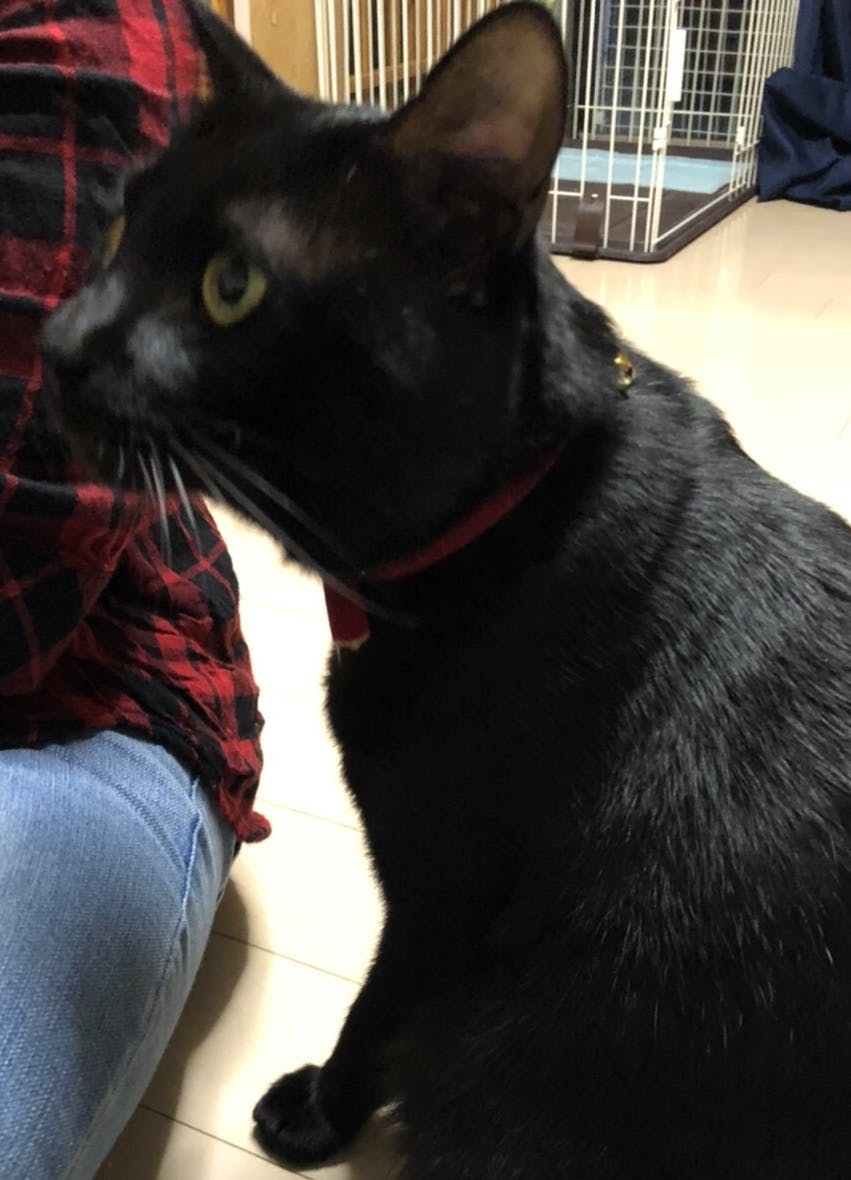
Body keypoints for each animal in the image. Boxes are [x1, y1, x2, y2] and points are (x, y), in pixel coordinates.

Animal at [42, 3, 851, 1177]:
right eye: (113, 237)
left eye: (231, 289)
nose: (55, 343)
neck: (524, 509)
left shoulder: (443, 891)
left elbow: (380, 1005)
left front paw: (316, 1111)